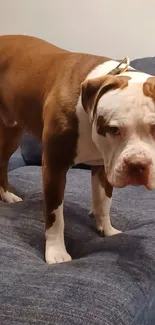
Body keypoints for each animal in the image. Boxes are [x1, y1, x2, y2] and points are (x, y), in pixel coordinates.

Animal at [0, 35, 155, 264]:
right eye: (114, 129)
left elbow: (104, 202)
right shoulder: (54, 167)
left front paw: (107, 230)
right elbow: (55, 217)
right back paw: (8, 195)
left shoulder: (103, 166)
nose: (137, 164)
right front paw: (56, 253)